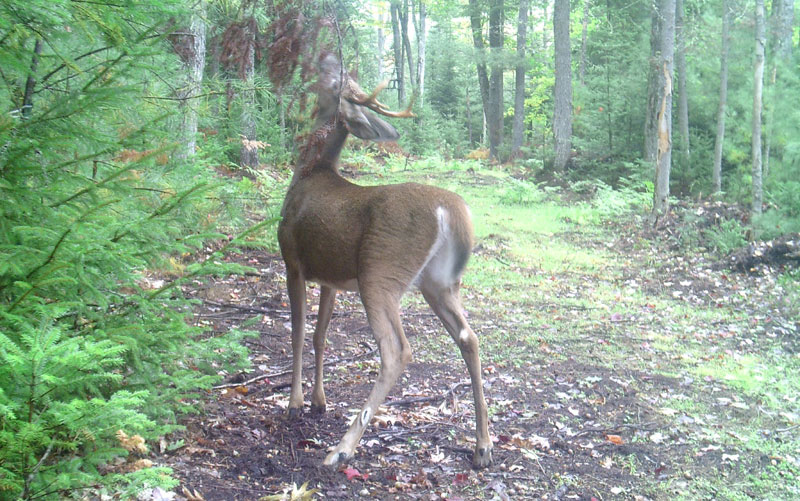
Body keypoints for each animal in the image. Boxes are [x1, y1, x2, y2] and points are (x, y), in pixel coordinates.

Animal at [280, 53, 494, 468]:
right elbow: (319, 335)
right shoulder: (331, 278)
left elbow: (297, 333)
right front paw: (318, 401)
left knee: (397, 351)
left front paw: (295, 403)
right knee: (470, 337)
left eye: (336, 82)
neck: (310, 172)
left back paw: (342, 448)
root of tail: (452, 210)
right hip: (438, 283)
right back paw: (483, 446)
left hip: (379, 273)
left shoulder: (292, 260)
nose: (327, 58)